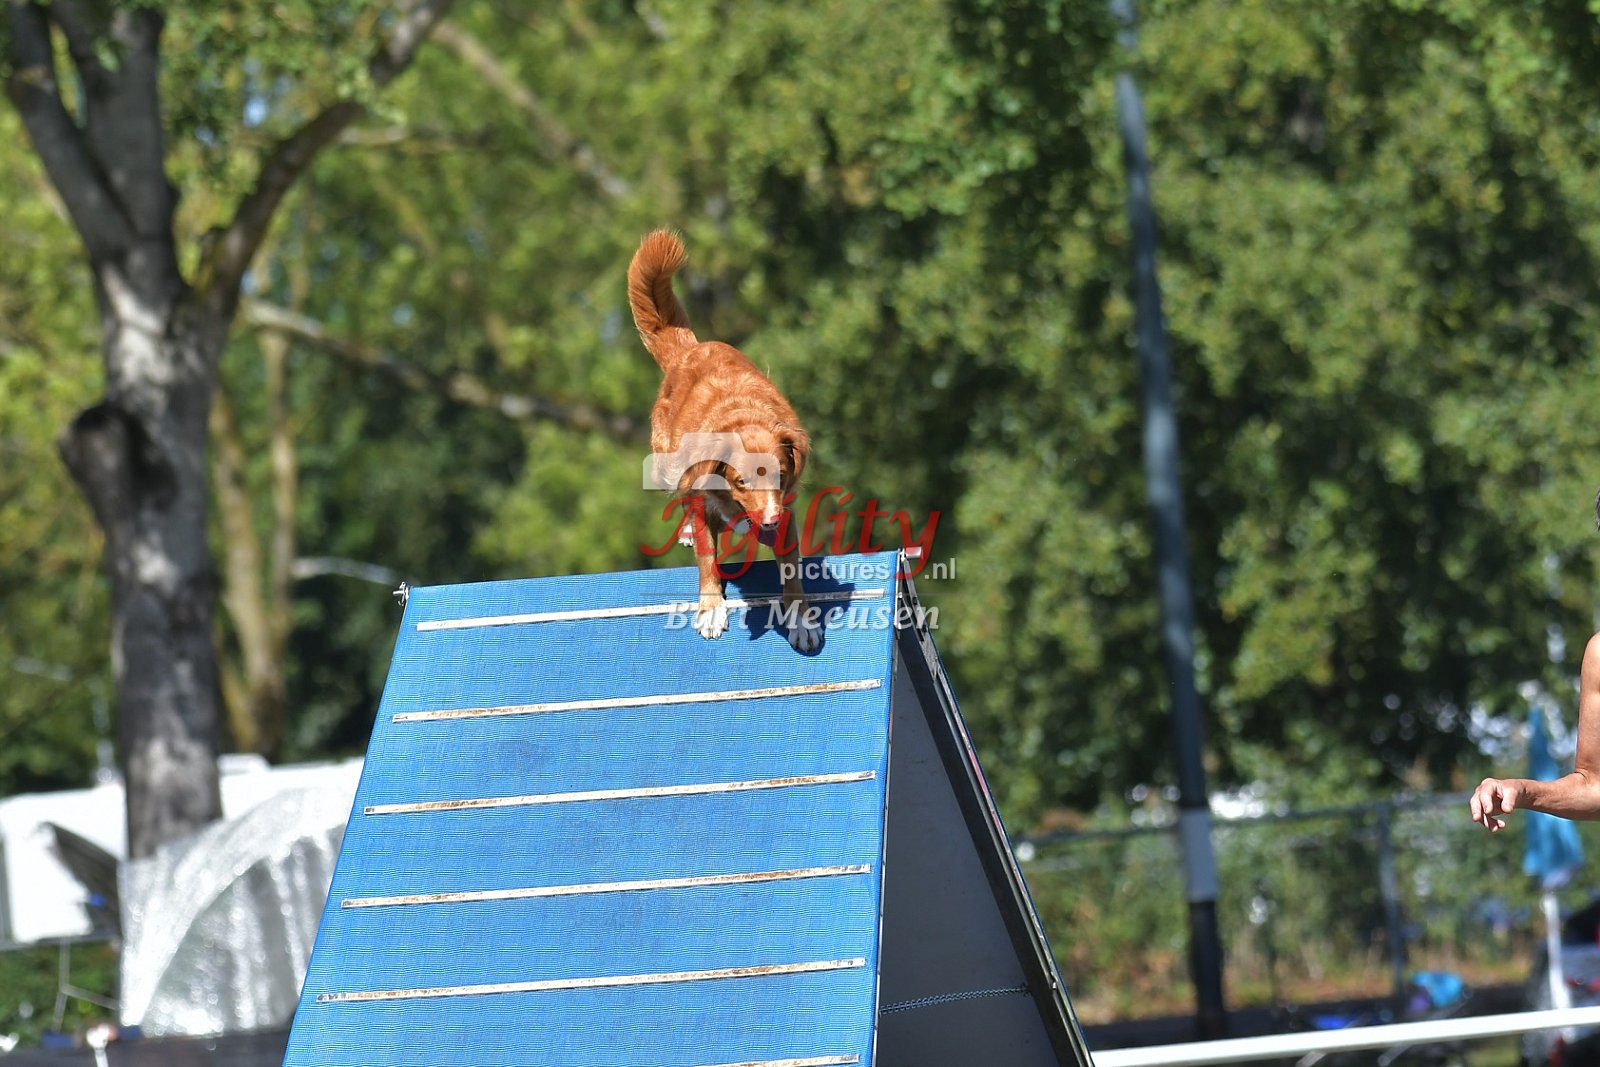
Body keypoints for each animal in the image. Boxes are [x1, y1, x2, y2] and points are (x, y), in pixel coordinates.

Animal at [627, 229, 819, 652]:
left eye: (780, 475)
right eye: (741, 481)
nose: (770, 519)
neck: (742, 418)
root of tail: (690, 349)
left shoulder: (787, 511)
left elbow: (791, 571)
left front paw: (800, 619)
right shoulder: (702, 496)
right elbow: (706, 553)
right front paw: (711, 609)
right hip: (665, 464)